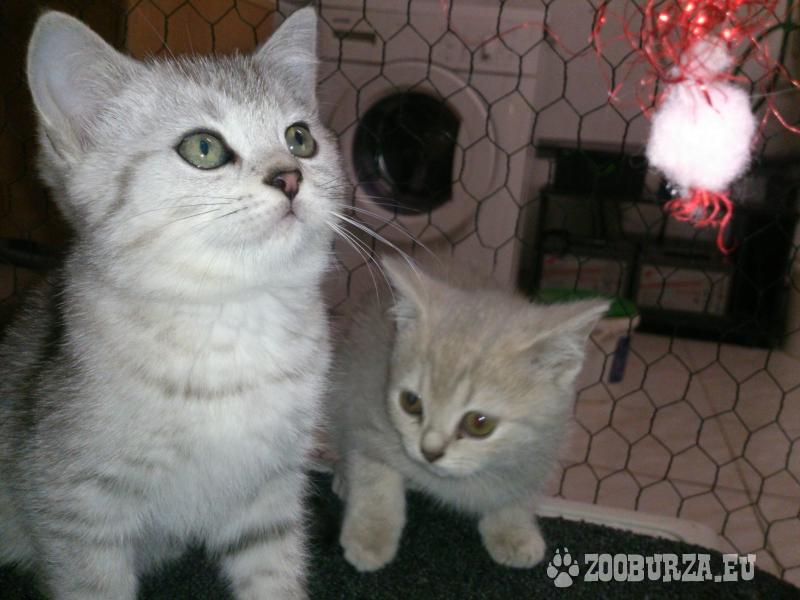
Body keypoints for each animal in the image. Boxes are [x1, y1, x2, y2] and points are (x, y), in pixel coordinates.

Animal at [0, 7, 345, 599]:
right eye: (203, 148)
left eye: (300, 138)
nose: (290, 176)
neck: (231, 318)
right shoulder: (74, 510)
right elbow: (94, 582)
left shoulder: (268, 495)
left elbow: (273, 575)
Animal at [328, 256, 607, 572]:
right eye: (411, 402)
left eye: (479, 423)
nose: (430, 451)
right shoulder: (363, 406)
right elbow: (373, 477)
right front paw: (370, 536)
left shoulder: (541, 448)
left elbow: (518, 491)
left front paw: (513, 530)